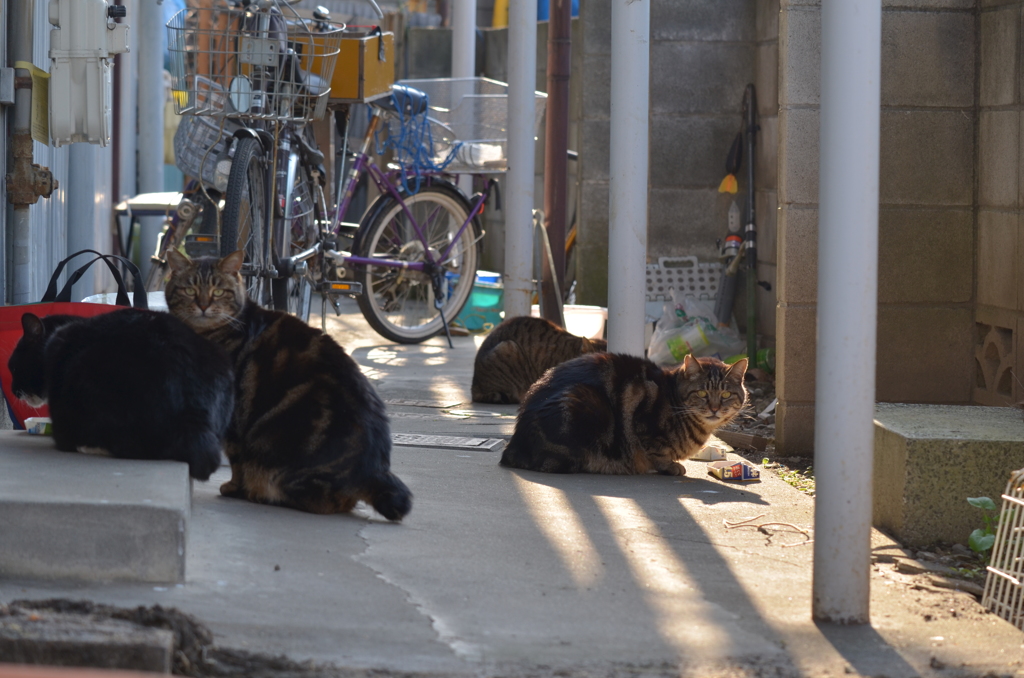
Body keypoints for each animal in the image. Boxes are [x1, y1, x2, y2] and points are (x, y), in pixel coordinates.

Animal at [163, 249, 411, 520]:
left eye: (218, 291)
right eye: (190, 290)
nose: (203, 305)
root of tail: (375, 469)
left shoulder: (234, 416)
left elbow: (236, 458)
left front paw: (234, 488)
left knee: (328, 502)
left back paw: (263, 494)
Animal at [501, 352, 749, 475]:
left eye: (726, 394)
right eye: (702, 393)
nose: (714, 408)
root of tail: (513, 446)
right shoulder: (646, 427)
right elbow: (657, 453)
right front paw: (670, 466)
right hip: (582, 401)